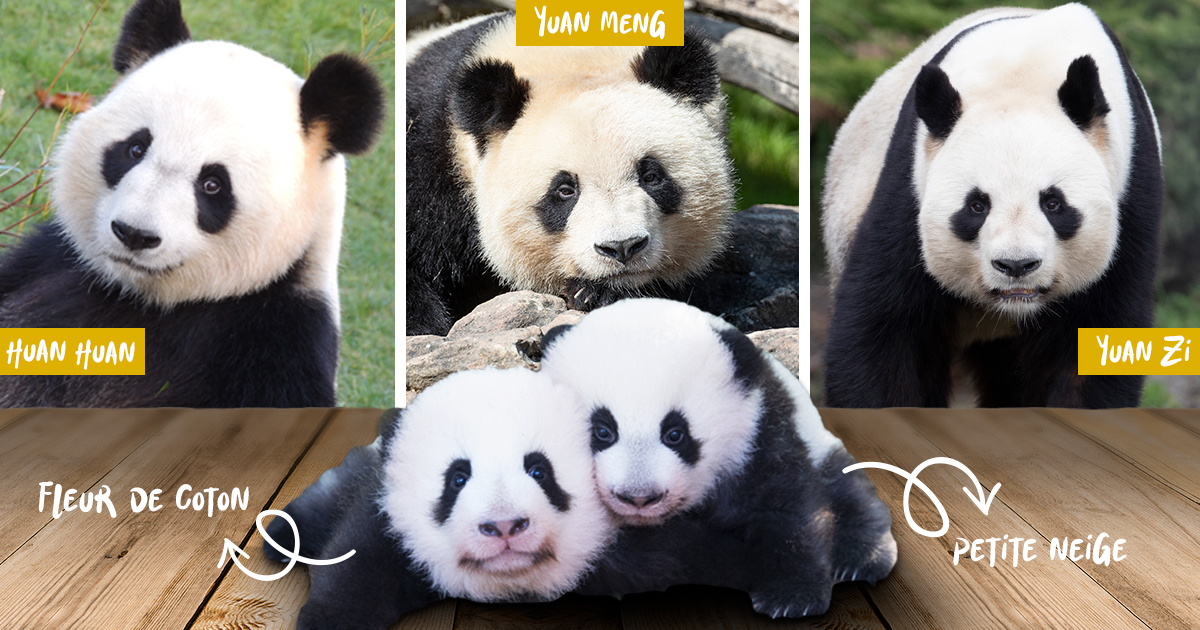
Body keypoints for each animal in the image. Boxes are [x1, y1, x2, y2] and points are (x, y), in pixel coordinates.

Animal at [0, 0, 384, 407]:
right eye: (135, 149)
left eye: (213, 184)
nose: (134, 234)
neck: (141, 299)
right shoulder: (47, 262)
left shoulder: (275, 342)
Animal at [538, 298, 896, 618]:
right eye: (602, 431)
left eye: (675, 434)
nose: (639, 497)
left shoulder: (760, 431)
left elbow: (787, 507)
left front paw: (793, 598)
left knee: (847, 489)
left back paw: (862, 559)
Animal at [821, 4, 1162, 408]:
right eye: (976, 206)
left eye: (1053, 203)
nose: (1016, 266)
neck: (1024, 68)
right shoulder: (910, 183)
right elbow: (882, 323)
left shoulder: (1131, 189)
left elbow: (1101, 335)